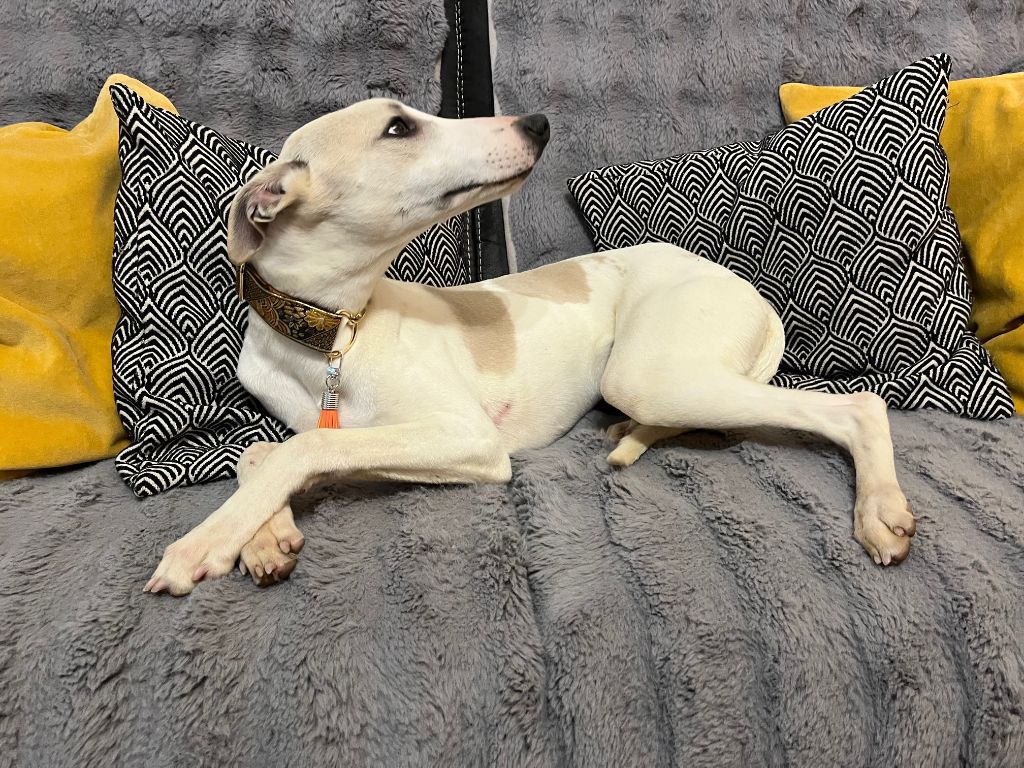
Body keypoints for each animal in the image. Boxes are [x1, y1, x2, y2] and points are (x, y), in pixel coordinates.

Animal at [144, 99, 916, 595]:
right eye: (398, 127)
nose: (537, 123)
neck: (335, 334)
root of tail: (746, 289)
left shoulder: (467, 437)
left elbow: (304, 448)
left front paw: (208, 541)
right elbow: (260, 450)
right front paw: (263, 536)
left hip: (650, 374)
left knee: (859, 406)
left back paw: (879, 511)